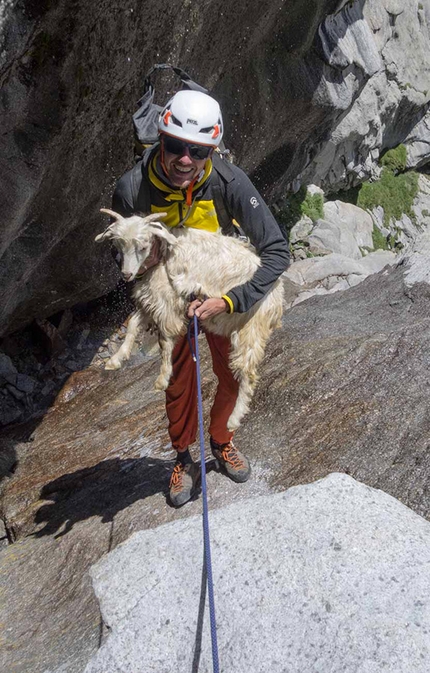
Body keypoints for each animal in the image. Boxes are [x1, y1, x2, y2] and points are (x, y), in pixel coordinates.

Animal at [94, 210, 284, 430]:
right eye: (117, 246)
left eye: (143, 246)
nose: (127, 274)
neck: (163, 255)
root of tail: (278, 296)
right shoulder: (151, 300)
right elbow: (133, 324)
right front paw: (116, 359)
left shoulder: (166, 303)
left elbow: (165, 340)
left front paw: (162, 378)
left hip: (251, 328)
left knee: (248, 373)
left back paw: (233, 419)